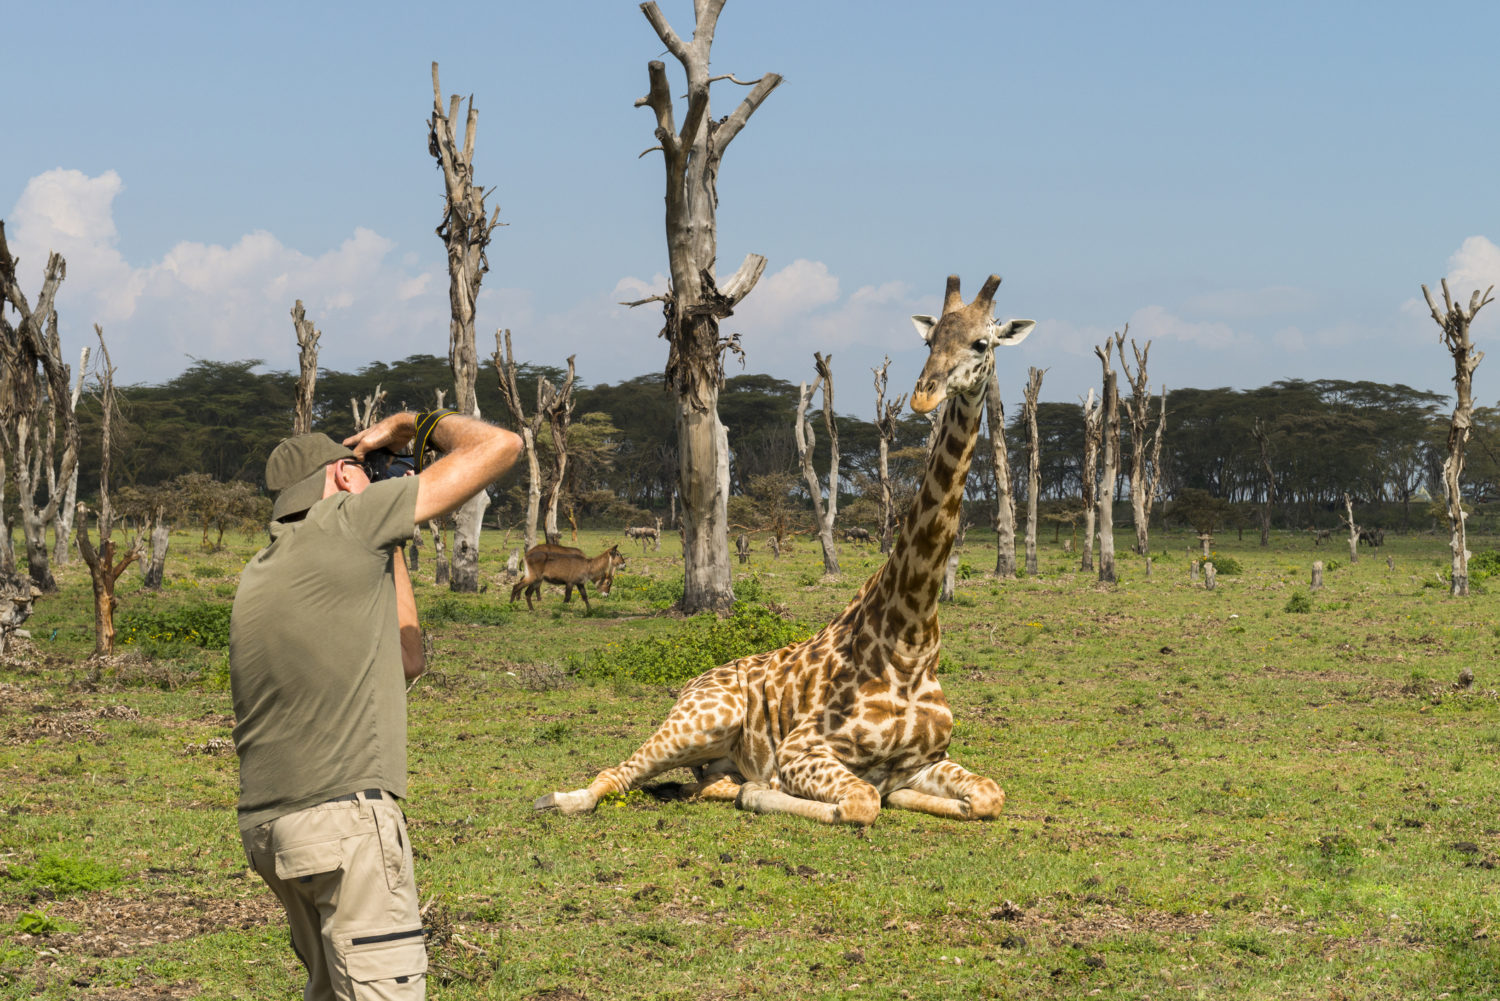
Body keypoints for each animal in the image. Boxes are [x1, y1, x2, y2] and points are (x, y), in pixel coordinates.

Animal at [534, 277, 1038, 828]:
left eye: (981, 343)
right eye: (929, 341)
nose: (924, 395)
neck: (910, 643)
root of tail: (693, 680)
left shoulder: (927, 758)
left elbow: (987, 795)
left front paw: (912, 796)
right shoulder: (803, 749)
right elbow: (861, 801)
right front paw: (773, 792)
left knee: (704, 783)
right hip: (701, 721)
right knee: (616, 774)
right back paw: (561, 798)